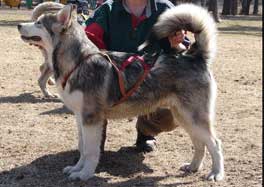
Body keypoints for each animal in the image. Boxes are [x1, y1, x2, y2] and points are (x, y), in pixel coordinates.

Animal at [17, 2, 224, 181]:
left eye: (38, 23)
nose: (19, 25)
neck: (78, 63)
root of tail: (195, 57)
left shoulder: (91, 119)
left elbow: (90, 151)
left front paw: (84, 174)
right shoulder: (80, 117)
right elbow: (82, 148)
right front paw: (76, 168)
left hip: (194, 117)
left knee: (215, 143)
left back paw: (216, 173)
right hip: (184, 117)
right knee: (200, 144)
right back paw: (193, 167)